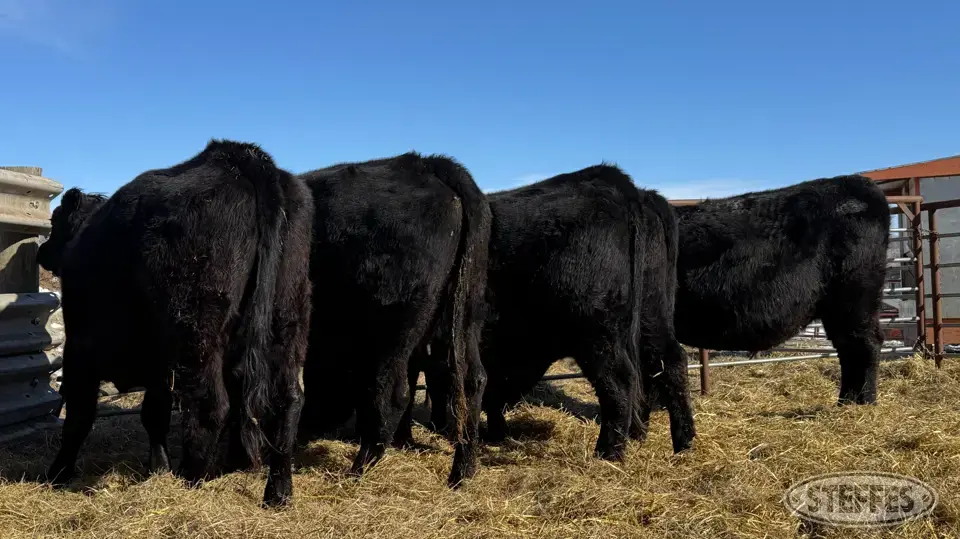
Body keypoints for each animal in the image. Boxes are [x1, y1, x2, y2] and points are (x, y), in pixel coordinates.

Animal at [35, 140, 314, 507]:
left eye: (55, 223)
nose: (41, 252)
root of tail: (239, 157)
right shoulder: (157, 362)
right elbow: (155, 413)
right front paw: (158, 467)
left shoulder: (81, 347)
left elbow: (80, 413)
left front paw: (58, 473)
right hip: (287, 316)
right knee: (288, 400)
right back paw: (277, 492)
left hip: (196, 329)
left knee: (211, 406)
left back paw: (191, 480)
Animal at [295, 152, 491, 488]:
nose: (307, 428)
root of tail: (426, 164)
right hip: (466, 315)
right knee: (470, 380)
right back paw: (462, 472)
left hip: (393, 328)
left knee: (393, 392)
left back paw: (359, 468)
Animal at [401, 165, 697, 461]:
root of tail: (615, 180)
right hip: (651, 314)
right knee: (669, 362)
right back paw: (682, 443)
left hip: (595, 330)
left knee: (620, 379)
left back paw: (608, 453)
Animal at [671, 174, 892, 405]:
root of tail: (858, 182)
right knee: (848, 347)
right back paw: (846, 402)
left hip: (856, 299)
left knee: (864, 344)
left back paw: (863, 402)